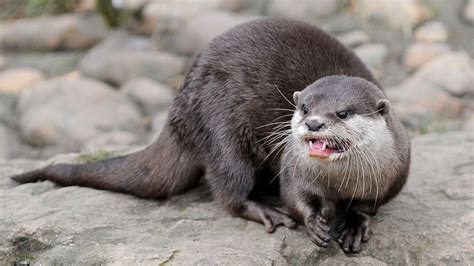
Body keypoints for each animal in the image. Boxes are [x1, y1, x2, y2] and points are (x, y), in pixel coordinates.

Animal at [12, 18, 412, 251]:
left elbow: (368, 206)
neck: (341, 183)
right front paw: (314, 222)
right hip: (220, 126)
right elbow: (296, 196)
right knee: (228, 188)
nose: (313, 124)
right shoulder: (293, 170)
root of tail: (180, 106)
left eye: (342, 112)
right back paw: (265, 210)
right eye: (303, 107)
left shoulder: (393, 176)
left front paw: (355, 226)